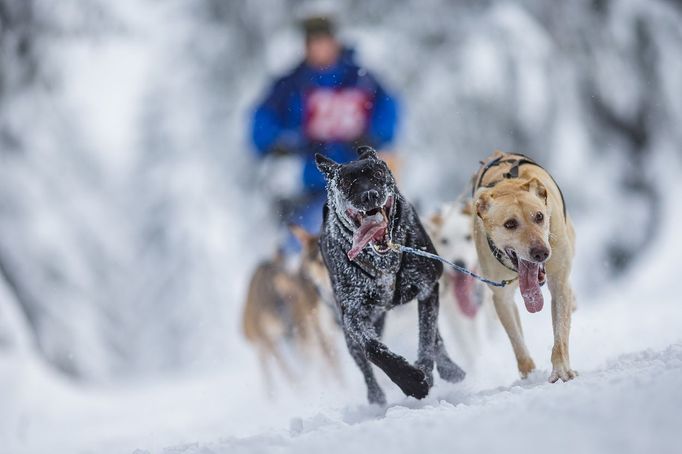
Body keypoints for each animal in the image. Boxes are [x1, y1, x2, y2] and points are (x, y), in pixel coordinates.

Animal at [472, 152, 572, 384]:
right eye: (510, 224)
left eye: (539, 216)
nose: (541, 252)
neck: (508, 185)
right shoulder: (501, 298)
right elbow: (517, 343)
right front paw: (529, 374)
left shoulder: (559, 284)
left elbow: (560, 335)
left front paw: (561, 371)